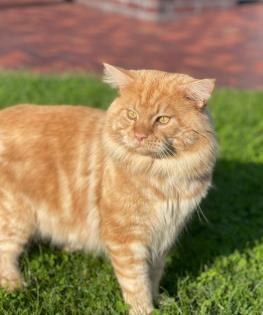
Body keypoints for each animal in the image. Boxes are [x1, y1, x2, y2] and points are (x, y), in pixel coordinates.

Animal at [0, 63, 217, 314]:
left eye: (162, 120)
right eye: (132, 114)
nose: (139, 135)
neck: (163, 176)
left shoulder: (164, 235)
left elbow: (154, 275)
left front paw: (160, 301)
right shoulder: (126, 238)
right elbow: (136, 283)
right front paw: (145, 309)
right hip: (16, 220)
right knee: (5, 254)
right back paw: (14, 285)